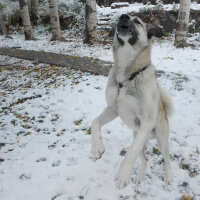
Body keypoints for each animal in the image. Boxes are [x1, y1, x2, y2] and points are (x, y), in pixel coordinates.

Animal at [91, 14, 173, 189]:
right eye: (121, 18)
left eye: (137, 21)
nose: (123, 16)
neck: (127, 76)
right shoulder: (113, 109)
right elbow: (94, 122)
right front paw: (96, 148)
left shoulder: (147, 121)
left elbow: (131, 151)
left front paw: (123, 174)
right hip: (139, 136)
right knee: (145, 159)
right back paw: (139, 178)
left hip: (161, 140)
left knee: (167, 159)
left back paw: (168, 177)